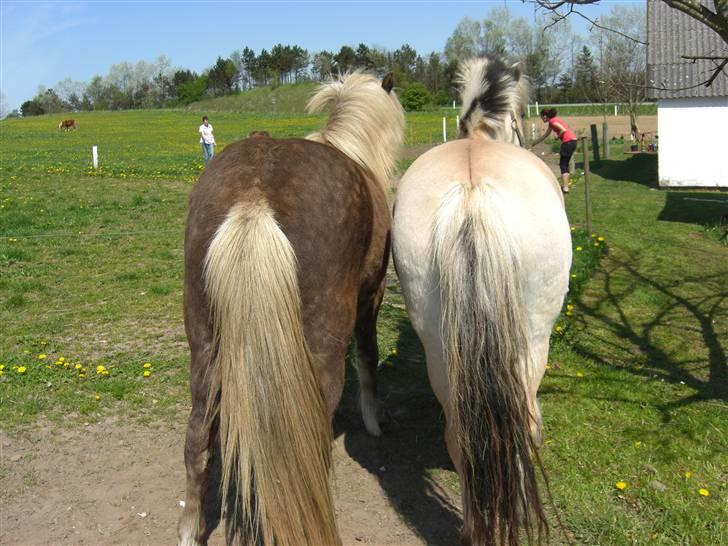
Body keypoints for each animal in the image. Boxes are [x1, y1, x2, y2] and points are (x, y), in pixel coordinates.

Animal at [176, 72, 404, 544]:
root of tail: (254, 196)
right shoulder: (371, 297)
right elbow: (369, 360)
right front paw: (375, 421)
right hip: (319, 352)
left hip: (205, 348)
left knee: (197, 439)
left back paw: (190, 530)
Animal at [390, 57, 572, 540]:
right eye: (520, 117)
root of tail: (471, 197)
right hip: (532, 340)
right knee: (526, 422)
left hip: (440, 346)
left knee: (460, 435)